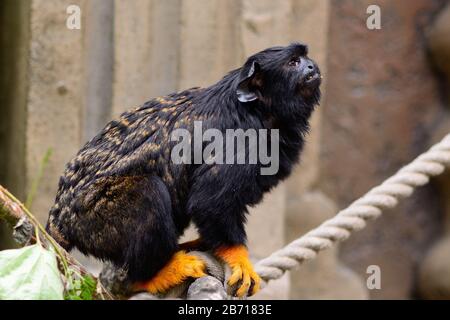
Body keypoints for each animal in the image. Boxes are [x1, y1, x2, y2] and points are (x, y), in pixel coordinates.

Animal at [46, 42, 320, 298]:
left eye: (305, 57)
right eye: (294, 62)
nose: (311, 67)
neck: (259, 111)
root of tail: (60, 216)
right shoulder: (240, 141)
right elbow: (210, 202)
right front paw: (238, 257)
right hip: (92, 218)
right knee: (149, 192)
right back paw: (155, 275)